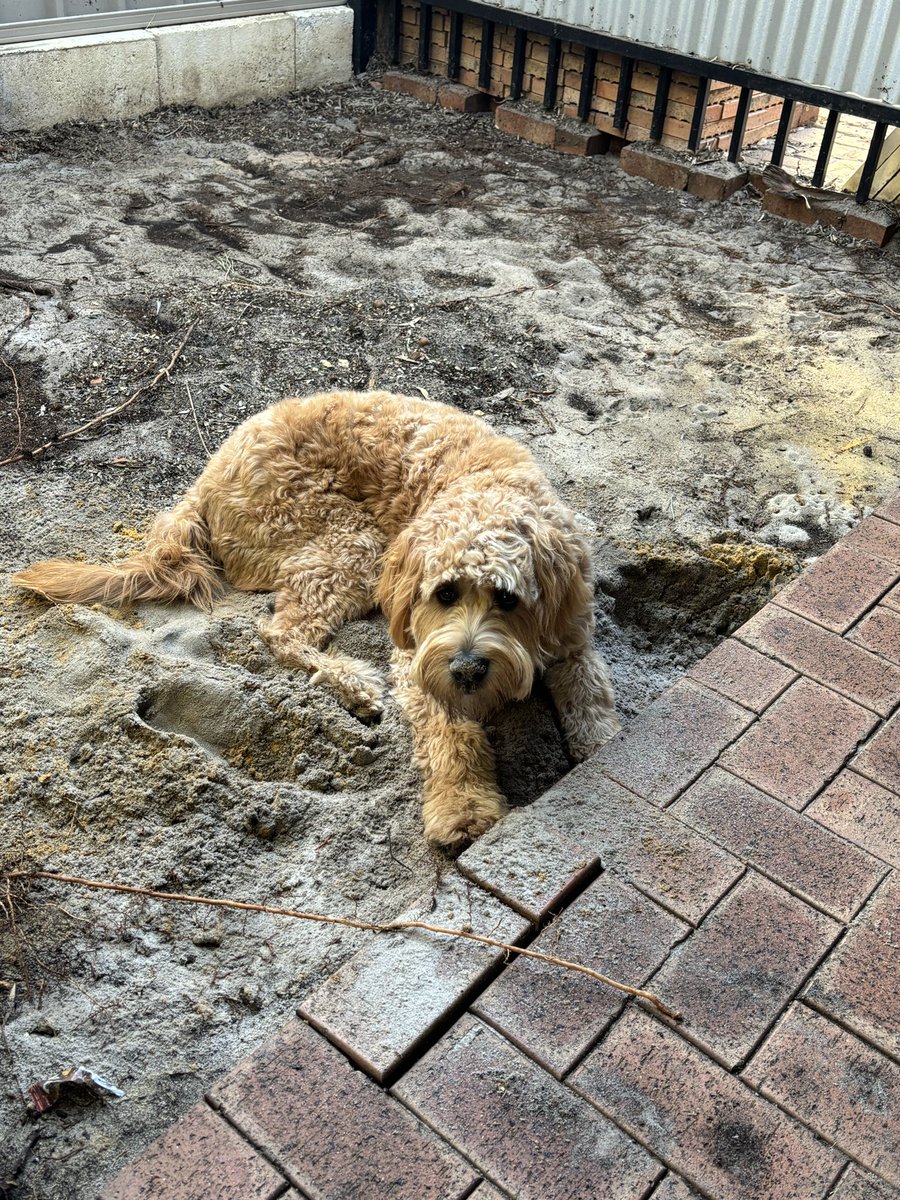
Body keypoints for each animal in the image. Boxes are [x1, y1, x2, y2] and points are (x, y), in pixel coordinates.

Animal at [14, 391, 619, 844]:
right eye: (444, 594)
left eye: (509, 600)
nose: (467, 670)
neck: (485, 488)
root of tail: (204, 483)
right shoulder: (418, 658)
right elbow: (450, 734)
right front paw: (463, 809)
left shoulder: (573, 638)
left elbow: (591, 702)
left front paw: (603, 753)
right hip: (348, 541)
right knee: (281, 631)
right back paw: (353, 683)